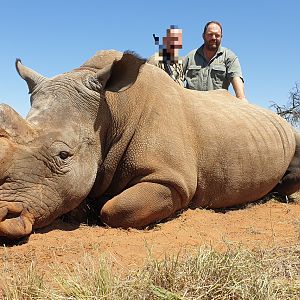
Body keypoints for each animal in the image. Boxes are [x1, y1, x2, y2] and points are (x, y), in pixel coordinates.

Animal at [0, 49, 298, 241]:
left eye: (63, 155)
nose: (4, 214)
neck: (111, 110)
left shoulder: (172, 179)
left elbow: (116, 209)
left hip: (289, 131)